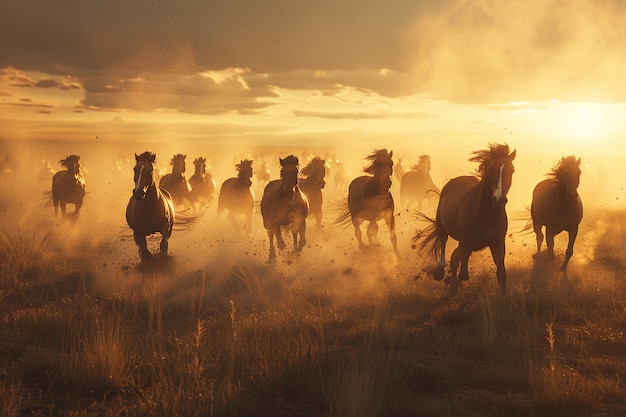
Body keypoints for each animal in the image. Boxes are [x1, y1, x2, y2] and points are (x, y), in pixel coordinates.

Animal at [416, 143, 516, 292]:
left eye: (512, 170)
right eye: (491, 169)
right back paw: (440, 271)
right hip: (442, 226)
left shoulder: (497, 243)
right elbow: (460, 266)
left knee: (454, 258)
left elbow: (501, 274)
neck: (485, 214)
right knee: (444, 243)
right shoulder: (465, 241)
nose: (498, 200)